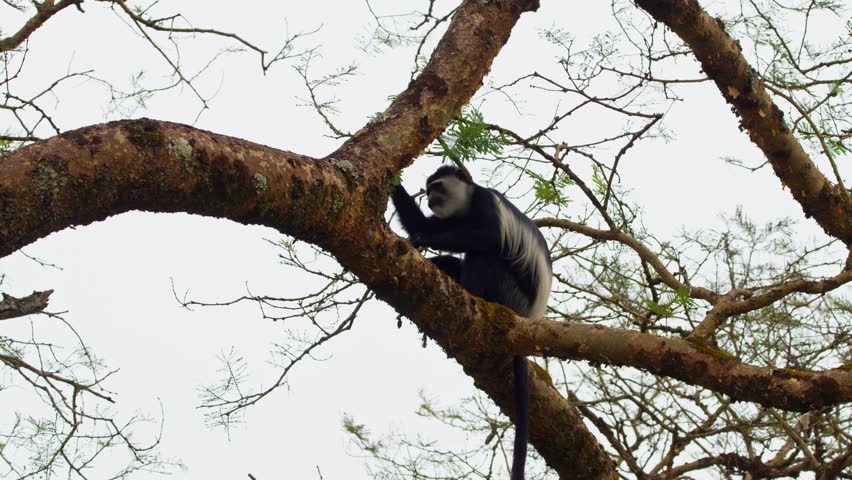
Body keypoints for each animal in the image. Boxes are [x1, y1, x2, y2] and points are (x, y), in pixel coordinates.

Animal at [390, 165, 552, 480]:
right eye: (428, 190)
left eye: (437, 188)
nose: (431, 199)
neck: (465, 206)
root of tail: (528, 316)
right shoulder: (450, 217)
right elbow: (422, 222)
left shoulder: (484, 203)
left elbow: (489, 236)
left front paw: (423, 239)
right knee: (454, 264)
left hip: (510, 296)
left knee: (483, 256)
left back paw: (474, 296)